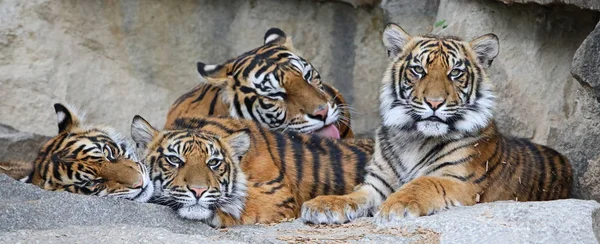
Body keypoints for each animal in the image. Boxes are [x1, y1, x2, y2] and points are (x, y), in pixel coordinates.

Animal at [300, 23, 572, 224]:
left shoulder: (460, 181)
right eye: (418, 70)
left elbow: (424, 182)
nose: (434, 102)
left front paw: (396, 205)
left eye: (455, 73)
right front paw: (323, 204)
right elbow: (354, 194)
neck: (413, 138)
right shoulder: (377, 183)